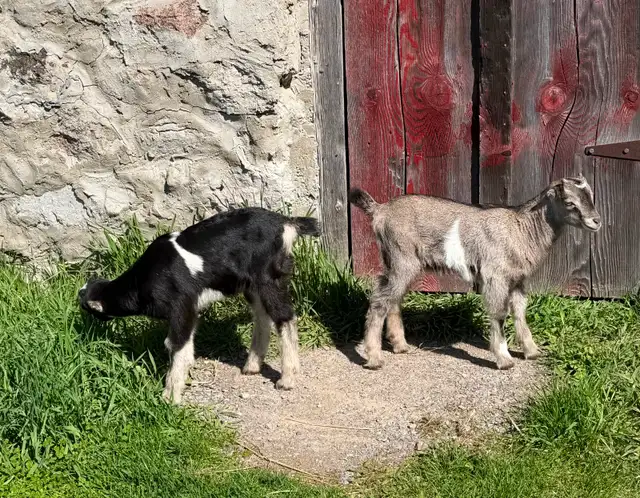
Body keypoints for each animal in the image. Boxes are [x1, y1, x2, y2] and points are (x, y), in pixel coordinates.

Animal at [78, 207, 320, 403]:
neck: (141, 281)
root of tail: (286, 222)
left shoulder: (181, 307)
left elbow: (176, 345)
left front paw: (170, 397)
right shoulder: (190, 310)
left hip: (268, 277)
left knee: (284, 316)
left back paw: (287, 379)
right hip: (252, 285)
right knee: (262, 315)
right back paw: (252, 366)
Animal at [349, 175, 601, 371]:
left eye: (590, 196)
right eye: (569, 202)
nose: (596, 221)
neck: (521, 228)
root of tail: (380, 210)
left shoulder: (517, 280)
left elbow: (520, 312)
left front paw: (531, 351)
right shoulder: (495, 276)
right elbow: (499, 314)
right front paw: (504, 359)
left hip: (399, 263)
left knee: (393, 299)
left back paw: (400, 346)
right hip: (402, 257)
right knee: (380, 301)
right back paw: (374, 358)